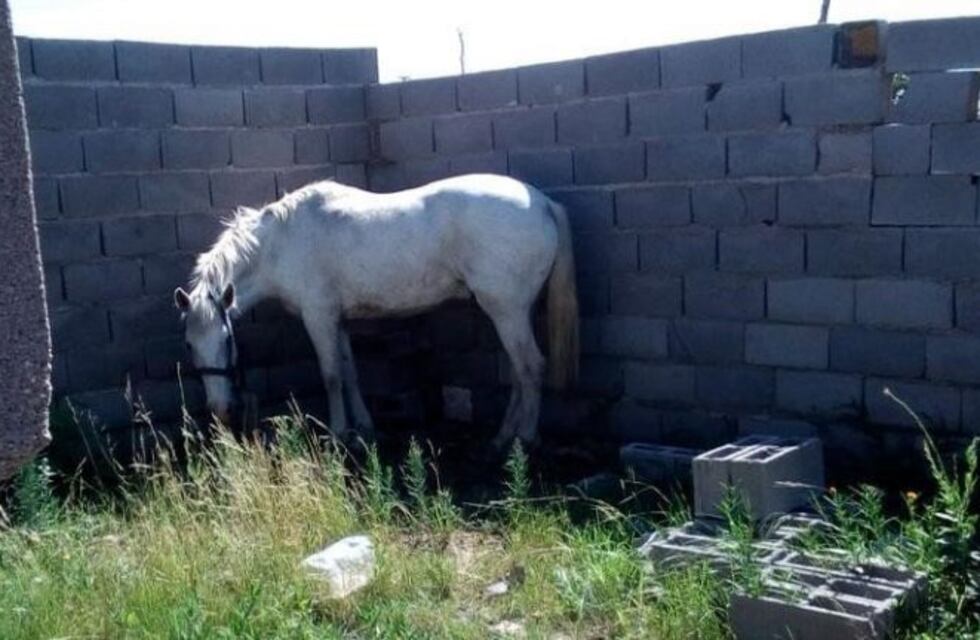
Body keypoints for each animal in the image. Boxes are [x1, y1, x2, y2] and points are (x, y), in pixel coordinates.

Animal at [174, 173, 579, 450]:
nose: (220, 409)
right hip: (512, 313)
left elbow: (331, 376)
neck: (282, 242)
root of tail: (542, 202)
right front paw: (364, 430)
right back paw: (503, 435)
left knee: (531, 367)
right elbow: (349, 373)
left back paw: (524, 439)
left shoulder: (318, 317)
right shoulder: (336, 319)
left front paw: (340, 433)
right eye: (190, 345)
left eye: (226, 340)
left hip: (506, 311)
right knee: (518, 371)